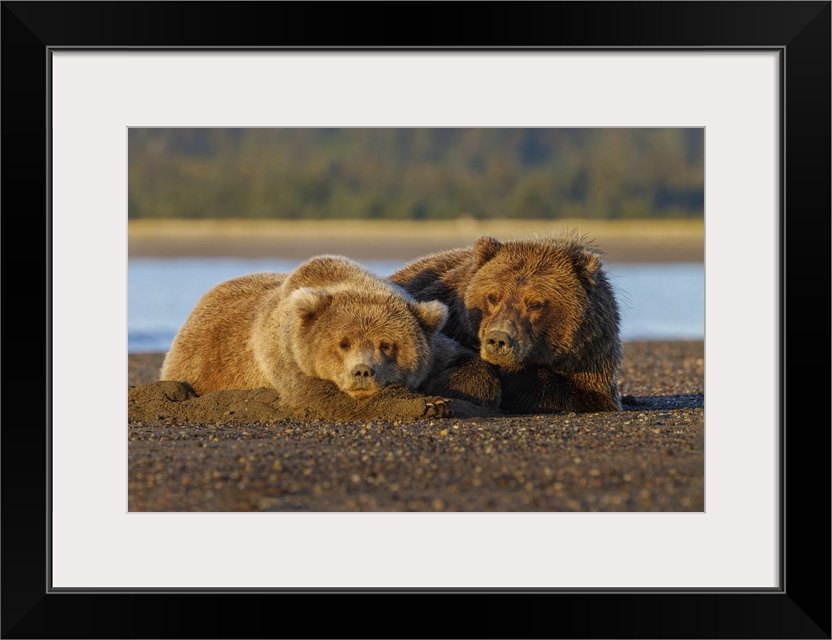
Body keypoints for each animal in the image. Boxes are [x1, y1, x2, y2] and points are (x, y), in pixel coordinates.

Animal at [159, 255, 494, 420]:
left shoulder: (436, 345)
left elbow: (467, 362)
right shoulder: (286, 353)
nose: (363, 372)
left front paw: (447, 392)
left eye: (387, 344)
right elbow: (322, 396)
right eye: (344, 343)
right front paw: (429, 404)